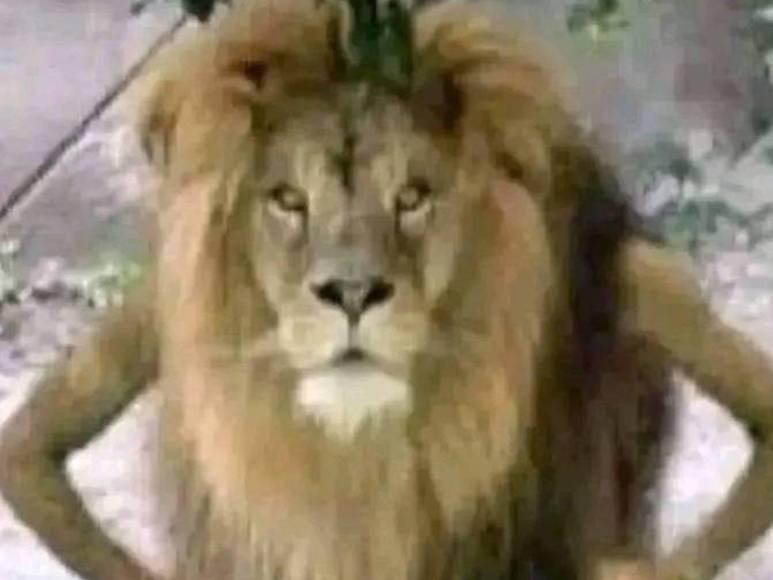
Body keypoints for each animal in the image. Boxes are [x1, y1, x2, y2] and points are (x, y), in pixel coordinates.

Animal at [2, 1, 773, 579]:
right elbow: (29, 444)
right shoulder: (159, 312)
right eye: (288, 200)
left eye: (411, 197)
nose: (350, 291)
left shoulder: (633, 276)